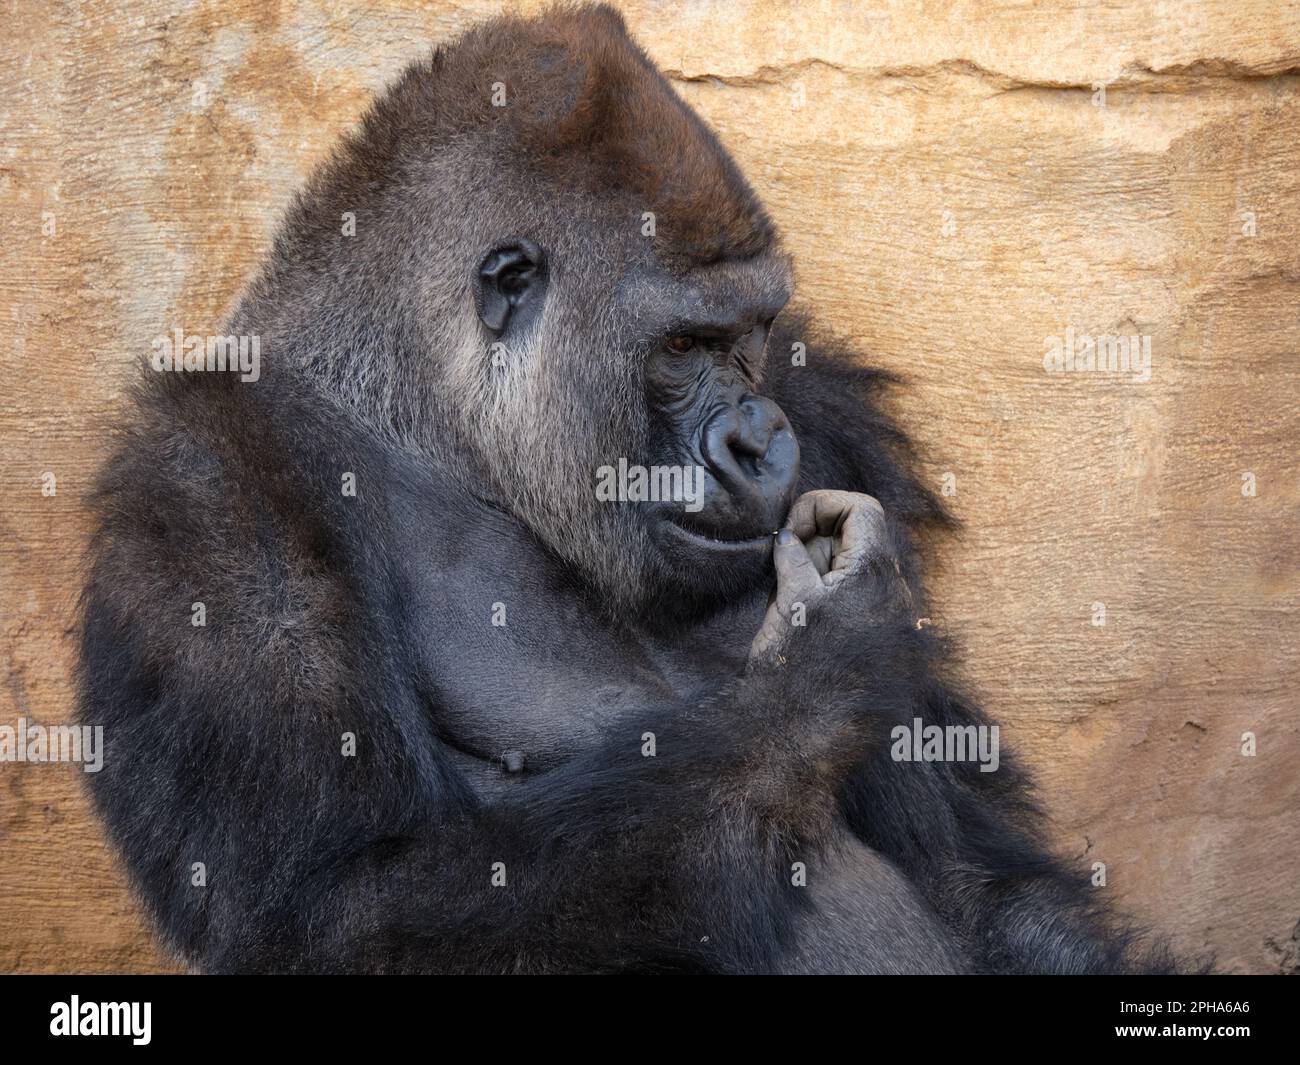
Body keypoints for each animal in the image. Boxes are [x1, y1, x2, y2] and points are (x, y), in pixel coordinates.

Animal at [81, 4, 1175, 972]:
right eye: (683, 347)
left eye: (751, 335)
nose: (759, 439)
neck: (433, 431)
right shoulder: (207, 497)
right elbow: (345, 903)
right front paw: (824, 671)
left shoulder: (830, 409)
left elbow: (980, 884)